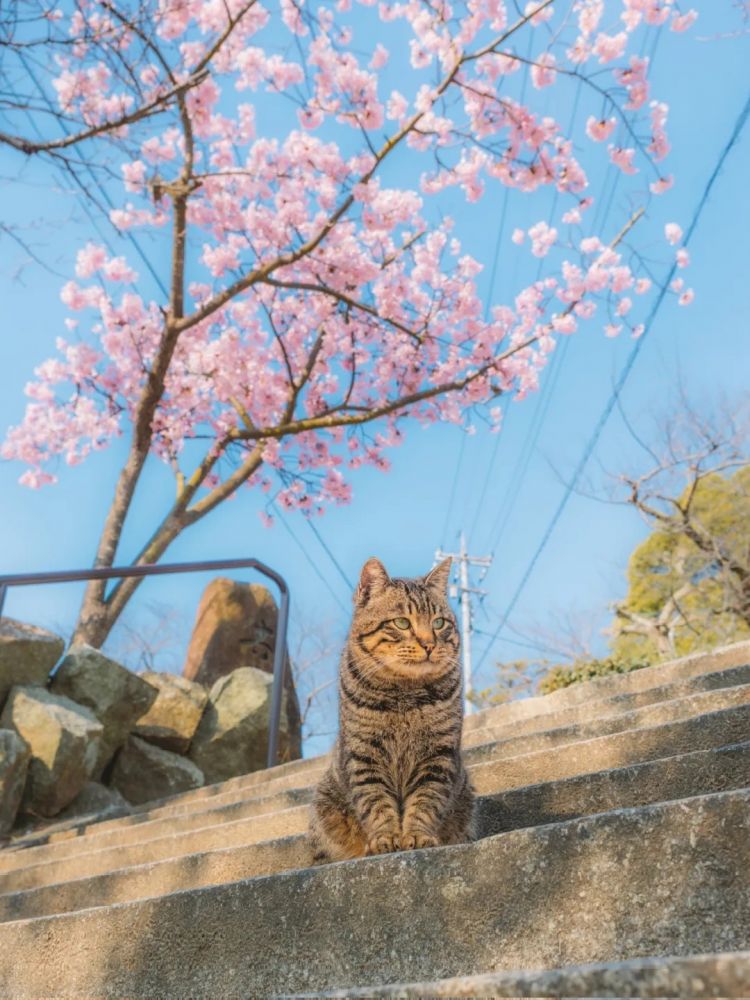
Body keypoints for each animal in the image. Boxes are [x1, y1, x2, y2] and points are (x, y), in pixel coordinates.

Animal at [306, 556, 472, 860]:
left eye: (439, 623)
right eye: (402, 623)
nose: (429, 645)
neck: (404, 696)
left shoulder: (438, 755)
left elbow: (426, 799)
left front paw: (417, 835)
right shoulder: (364, 755)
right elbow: (376, 803)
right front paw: (386, 838)